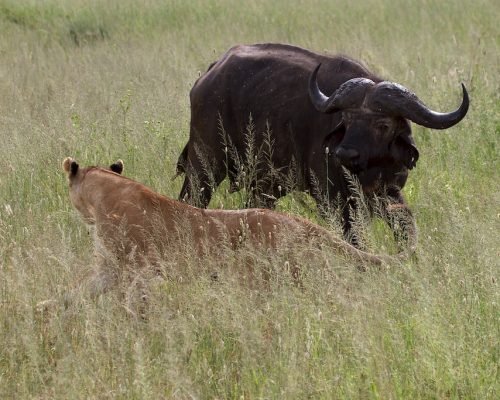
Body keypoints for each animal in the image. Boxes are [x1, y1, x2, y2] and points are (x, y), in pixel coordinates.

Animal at [177, 44, 468, 250]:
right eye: (346, 119)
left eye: (383, 124)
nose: (345, 153)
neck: (367, 171)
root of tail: (208, 77)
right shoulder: (332, 199)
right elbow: (352, 238)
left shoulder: (390, 194)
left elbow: (406, 227)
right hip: (204, 166)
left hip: (264, 185)